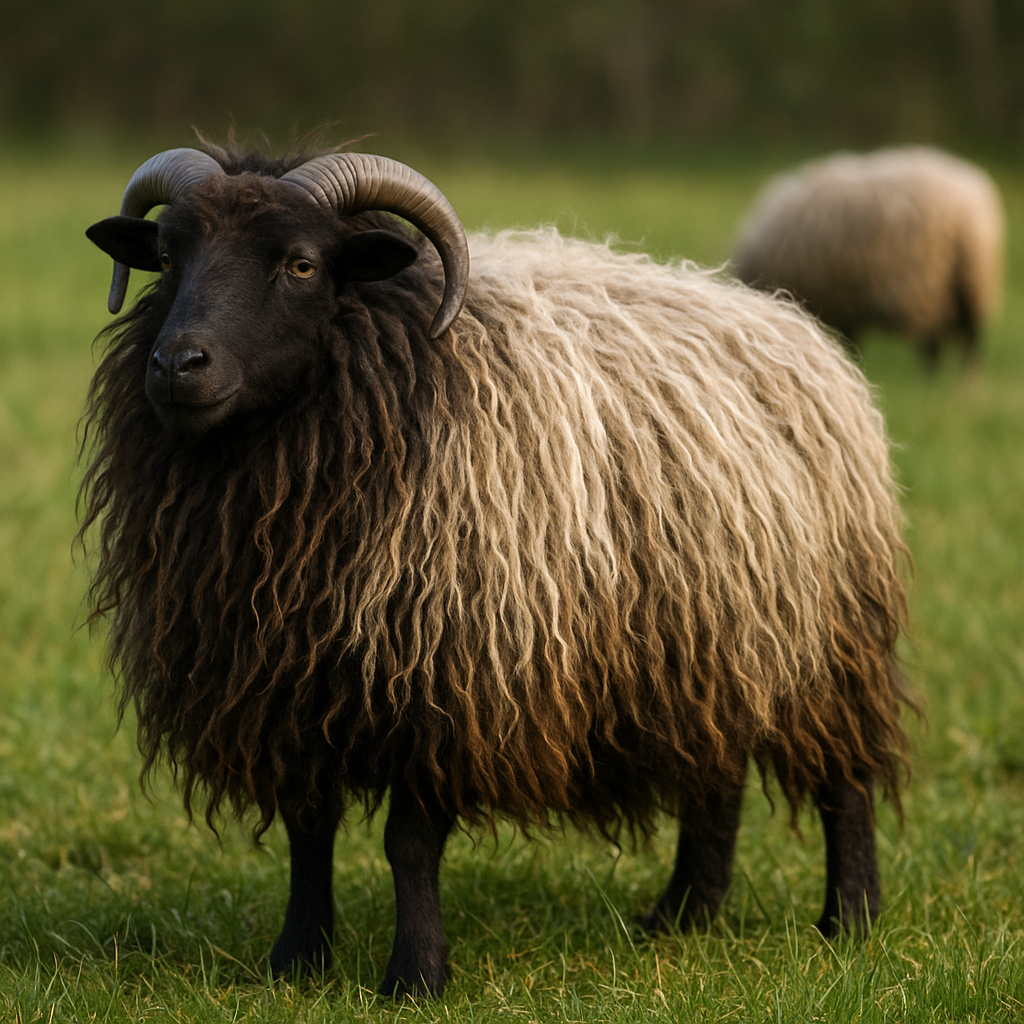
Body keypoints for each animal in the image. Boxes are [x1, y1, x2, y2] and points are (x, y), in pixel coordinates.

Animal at [81, 144, 914, 998]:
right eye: (168, 258)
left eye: (302, 264)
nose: (177, 364)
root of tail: (789, 321)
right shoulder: (285, 683)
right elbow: (308, 833)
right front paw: (296, 962)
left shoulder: (446, 679)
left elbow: (409, 843)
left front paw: (415, 976)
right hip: (703, 644)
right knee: (714, 778)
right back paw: (683, 916)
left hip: (827, 645)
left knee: (845, 778)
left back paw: (848, 921)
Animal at [732, 146, 1004, 366]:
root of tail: (968, 211)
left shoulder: (841, 302)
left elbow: (850, 342)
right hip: (965, 278)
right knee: (956, 334)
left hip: (937, 281)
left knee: (955, 336)